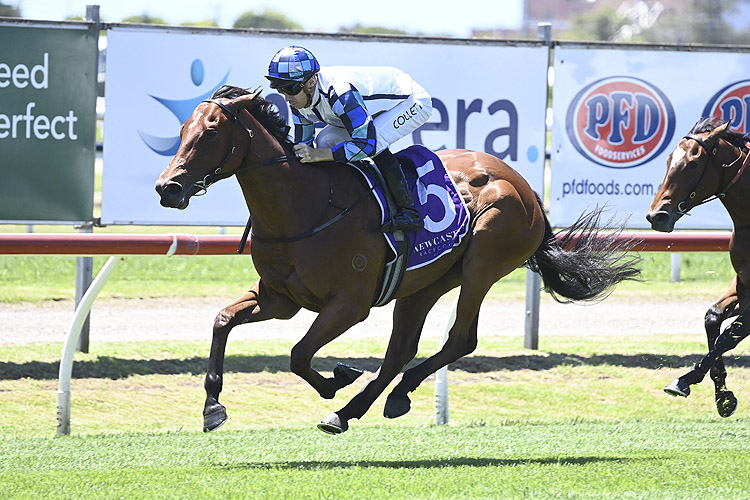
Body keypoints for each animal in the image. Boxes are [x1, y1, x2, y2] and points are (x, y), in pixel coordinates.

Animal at [157, 85, 640, 434]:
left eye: (212, 131)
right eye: (181, 130)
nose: (168, 188)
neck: (305, 206)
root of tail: (526, 187)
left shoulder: (348, 305)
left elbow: (298, 354)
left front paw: (336, 379)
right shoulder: (280, 299)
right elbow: (223, 321)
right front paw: (212, 406)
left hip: (483, 263)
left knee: (459, 340)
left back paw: (370, 400)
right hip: (425, 282)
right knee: (401, 350)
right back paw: (364, 407)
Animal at [648, 115, 750, 416]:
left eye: (693, 163)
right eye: (669, 160)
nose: (656, 216)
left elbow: (729, 335)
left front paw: (684, 379)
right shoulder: (742, 282)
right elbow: (713, 318)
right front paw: (723, 394)